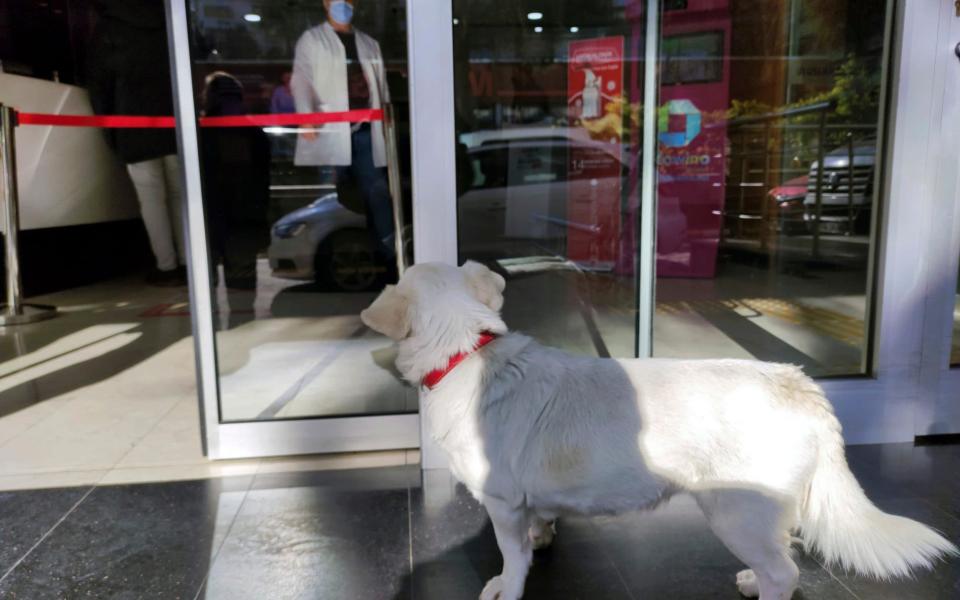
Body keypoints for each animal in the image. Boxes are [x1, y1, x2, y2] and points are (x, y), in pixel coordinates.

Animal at [362, 262, 960, 600]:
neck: (467, 350)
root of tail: (799, 384)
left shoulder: (503, 503)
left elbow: (512, 558)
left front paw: (506, 587)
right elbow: (539, 527)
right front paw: (543, 538)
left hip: (735, 512)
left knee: (785, 574)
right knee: (783, 556)